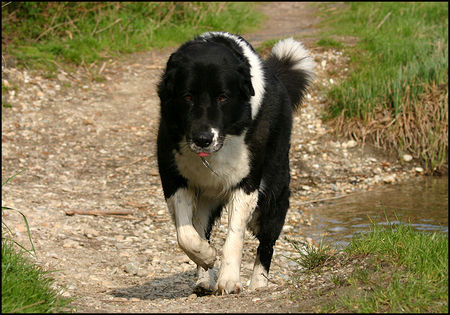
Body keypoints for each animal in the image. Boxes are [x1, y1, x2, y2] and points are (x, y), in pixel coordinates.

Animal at [156, 30, 314, 296]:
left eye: (223, 97)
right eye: (187, 96)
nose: (203, 139)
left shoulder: (247, 183)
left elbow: (234, 234)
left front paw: (229, 279)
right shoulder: (173, 178)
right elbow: (186, 233)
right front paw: (206, 256)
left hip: (273, 193)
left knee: (266, 243)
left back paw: (258, 284)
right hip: (207, 196)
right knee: (201, 226)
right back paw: (204, 279)